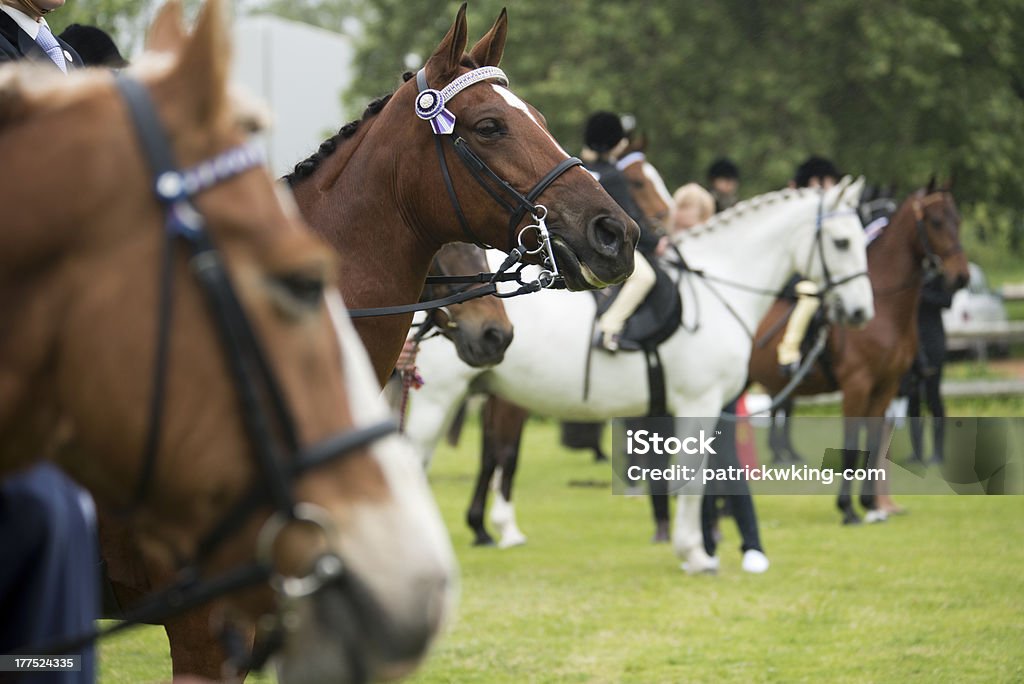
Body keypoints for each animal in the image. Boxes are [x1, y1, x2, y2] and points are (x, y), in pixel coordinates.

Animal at [403, 176, 868, 573]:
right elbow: (692, 479)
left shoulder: (712, 408)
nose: (861, 312)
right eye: (842, 242)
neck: (720, 289)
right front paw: (694, 553)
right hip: (438, 399)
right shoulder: (698, 403)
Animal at [745, 180, 966, 524]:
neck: (884, 307)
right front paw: (848, 509)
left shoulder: (885, 387)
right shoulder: (856, 386)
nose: (961, 277)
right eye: (936, 221)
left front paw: (871, 505)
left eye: (958, 220)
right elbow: (851, 447)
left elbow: (873, 445)